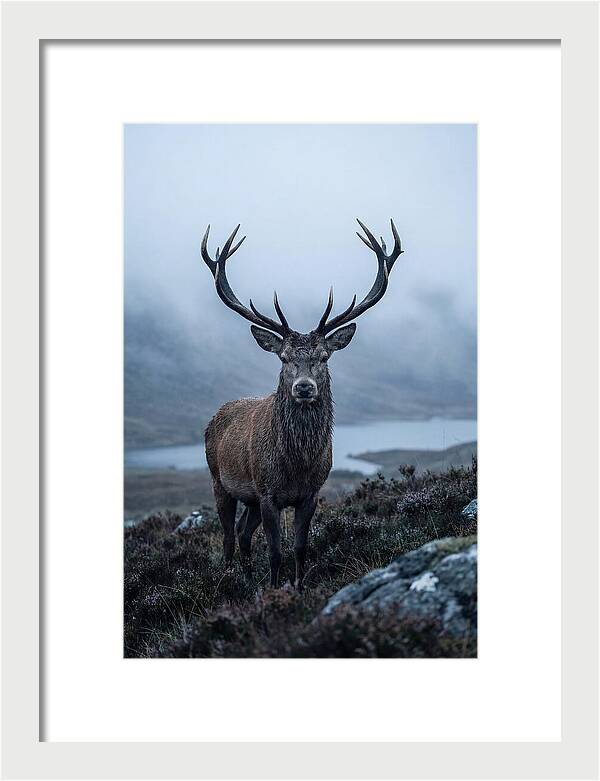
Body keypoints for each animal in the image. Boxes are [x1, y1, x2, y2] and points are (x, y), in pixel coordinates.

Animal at [202, 219, 403, 589]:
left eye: (323, 356)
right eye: (284, 358)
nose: (304, 387)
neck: (297, 465)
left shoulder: (310, 494)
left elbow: (299, 547)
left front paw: (297, 587)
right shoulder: (268, 493)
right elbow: (275, 551)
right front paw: (274, 589)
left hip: (249, 498)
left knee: (243, 534)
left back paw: (248, 581)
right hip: (219, 480)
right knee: (227, 537)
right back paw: (229, 581)